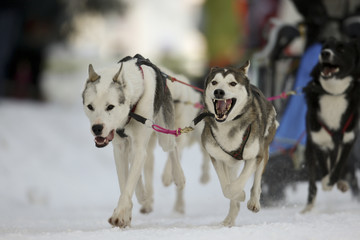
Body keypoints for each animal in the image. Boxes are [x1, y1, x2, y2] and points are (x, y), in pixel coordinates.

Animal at [201, 61, 278, 226]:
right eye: (214, 82)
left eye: (232, 83)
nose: (218, 92)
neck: (228, 124)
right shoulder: (216, 157)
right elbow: (226, 188)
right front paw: (237, 196)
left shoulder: (254, 156)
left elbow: (239, 183)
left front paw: (241, 194)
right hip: (231, 163)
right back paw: (230, 218)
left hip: (264, 149)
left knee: (257, 179)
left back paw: (254, 202)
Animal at [300, 38, 360, 213]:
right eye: (325, 47)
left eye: (341, 49)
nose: (324, 53)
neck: (333, 94)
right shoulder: (318, 141)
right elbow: (324, 169)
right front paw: (327, 183)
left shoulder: (348, 140)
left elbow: (338, 167)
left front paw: (332, 181)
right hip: (310, 151)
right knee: (313, 182)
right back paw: (307, 208)